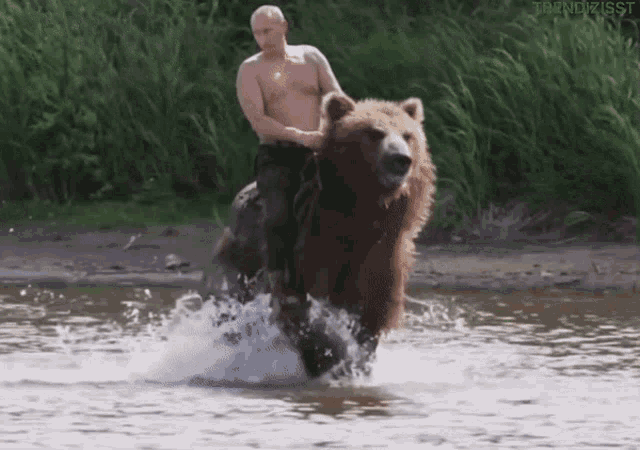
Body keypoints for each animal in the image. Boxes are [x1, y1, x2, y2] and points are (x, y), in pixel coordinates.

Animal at [203, 91, 436, 377]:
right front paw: (329, 357)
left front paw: (356, 361)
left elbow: (371, 312)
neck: (360, 214)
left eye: (407, 135)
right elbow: (303, 310)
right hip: (245, 250)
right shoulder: (314, 244)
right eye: (374, 132)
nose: (400, 160)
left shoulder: (382, 254)